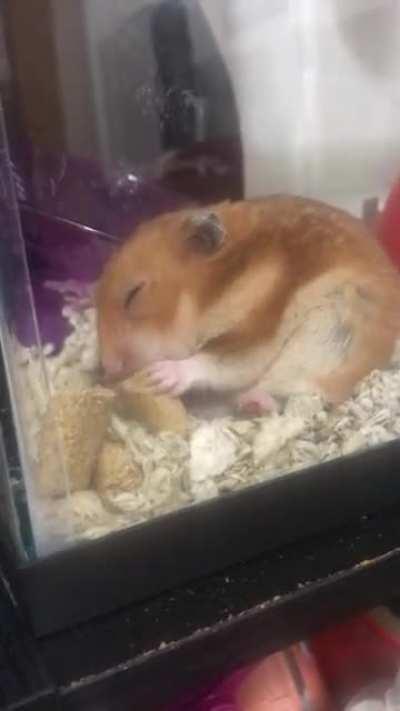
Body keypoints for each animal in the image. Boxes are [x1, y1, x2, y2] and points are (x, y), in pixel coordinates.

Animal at [96, 195, 400, 414]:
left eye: (134, 294)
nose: (108, 367)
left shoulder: (258, 333)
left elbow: (215, 361)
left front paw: (159, 376)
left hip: (327, 336)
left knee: (306, 388)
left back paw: (252, 402)